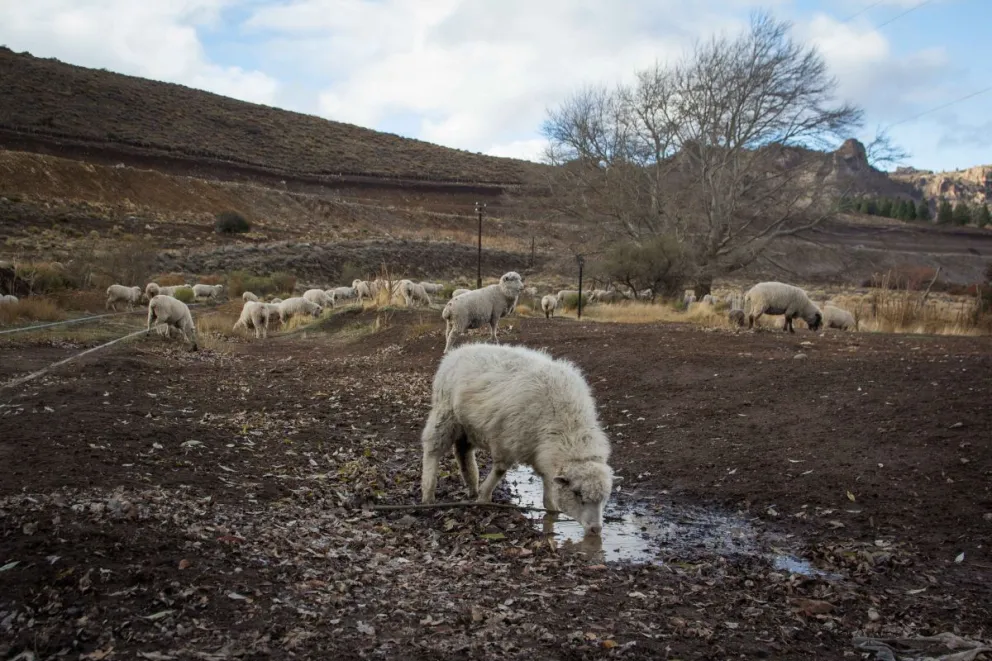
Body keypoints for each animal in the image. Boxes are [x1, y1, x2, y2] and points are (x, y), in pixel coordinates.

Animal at [420, 343, 614, 536]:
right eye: (577, 493)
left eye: (604, 498)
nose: (596, 529)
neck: (567, 426)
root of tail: (459, 350)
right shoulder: (507, 441)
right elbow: (500, 470)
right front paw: (484, 496)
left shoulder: (543, 455)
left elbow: (548, 488)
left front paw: (552, 512)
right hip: (445, 414)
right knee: (432, 449)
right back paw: (428, 493)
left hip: (468, 426)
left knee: (463, 452)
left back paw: (472, 486)